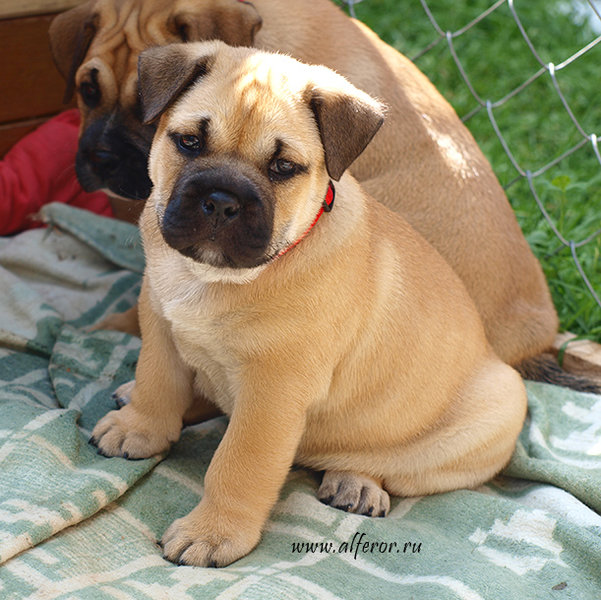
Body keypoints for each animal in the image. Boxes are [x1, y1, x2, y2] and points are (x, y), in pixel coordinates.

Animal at [90, 42, 524, 568]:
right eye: (189, 142)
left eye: (283, 168)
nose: (221, 200)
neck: (215, 278)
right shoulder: (159, 323)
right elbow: (157, 382)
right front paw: (141, 427)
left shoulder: (272, 394)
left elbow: (238, 463)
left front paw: (213, 533)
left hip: (491, 415)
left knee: (388, 464)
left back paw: (356, 484)